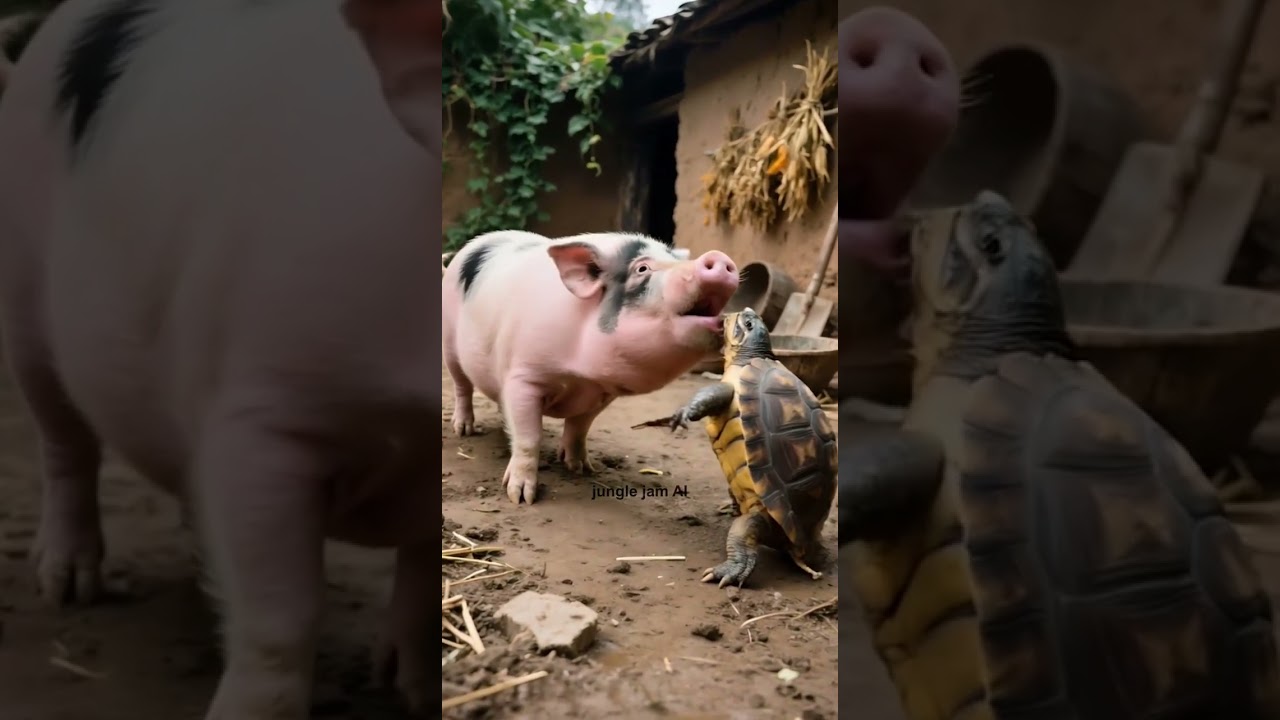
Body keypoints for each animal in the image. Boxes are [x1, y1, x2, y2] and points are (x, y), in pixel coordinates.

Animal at [0, 0, 442, 718]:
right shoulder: (262, 413)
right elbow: (283, 613)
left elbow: (426, 571)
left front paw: (414, 690)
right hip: (20, 293)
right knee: (64, 441)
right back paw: (67, 588)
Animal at [442, 231, 739, 504]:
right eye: (642, 269)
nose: (719, 257)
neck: (580, 377)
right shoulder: (524, 377)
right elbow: (529, 437)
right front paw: (521, 498)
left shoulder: (602, 394)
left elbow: (579, 428)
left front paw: (582, 469)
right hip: (450, 349)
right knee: (462, 387)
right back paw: (464, 429)